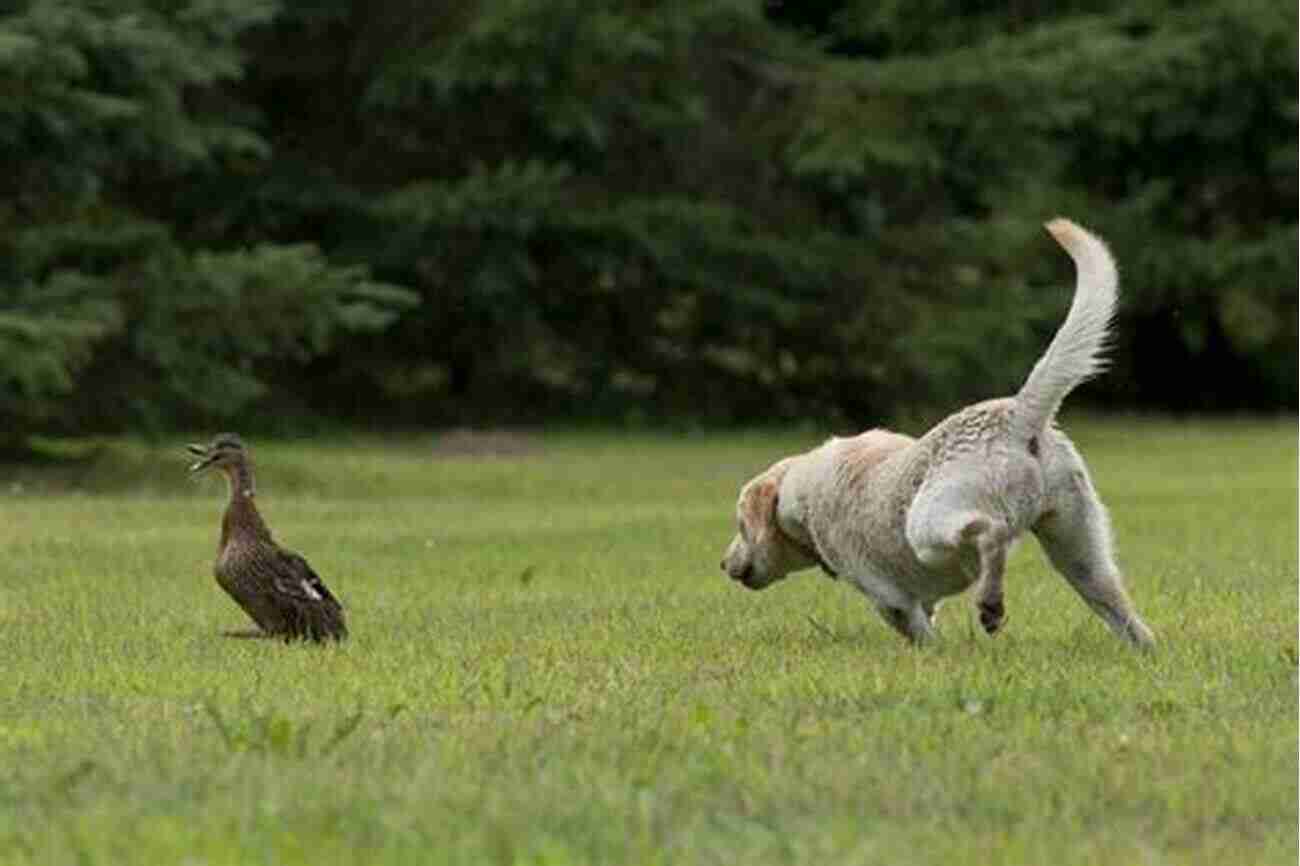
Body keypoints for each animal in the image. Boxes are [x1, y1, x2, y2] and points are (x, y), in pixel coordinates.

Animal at [722, 219, 1159, 644]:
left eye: (741, 525)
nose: (723, 564)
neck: (796, 490)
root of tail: (1018, 413)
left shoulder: (889, 597)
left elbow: (919, 631)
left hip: (928, 526)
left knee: (990, 534)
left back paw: (990, 604)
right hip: (1078, 552)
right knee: (1126, 617)